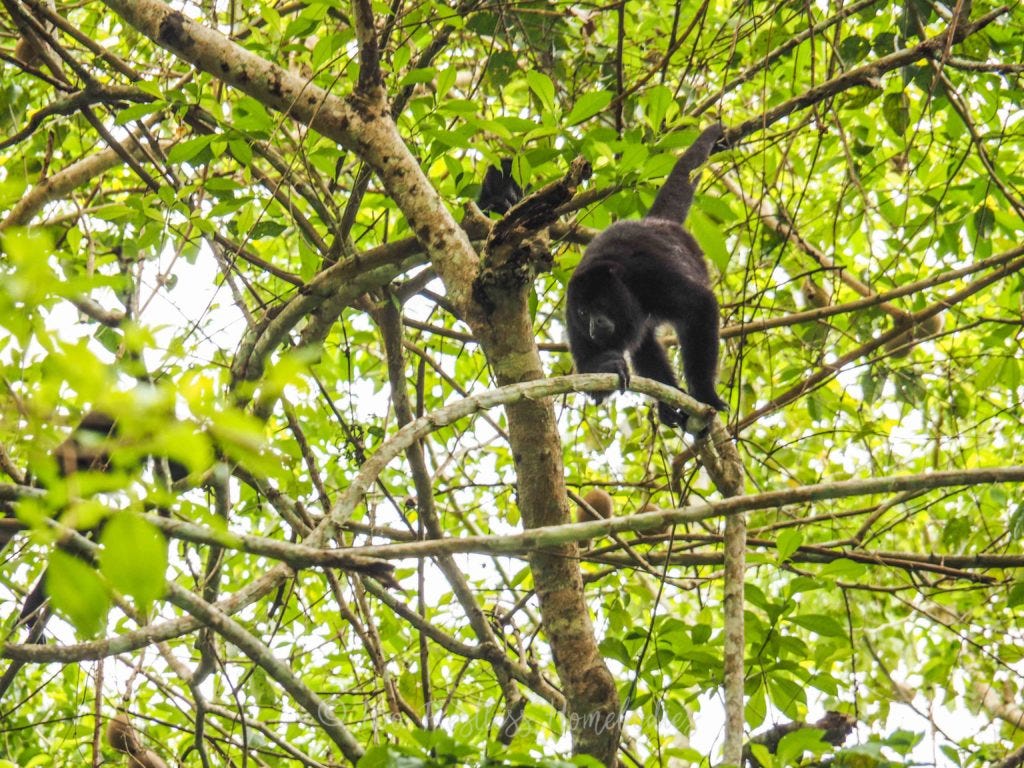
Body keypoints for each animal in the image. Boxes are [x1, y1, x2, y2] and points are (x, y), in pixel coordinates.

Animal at [569, 123, 729, 430]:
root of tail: (654, 222)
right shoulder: (569, 314)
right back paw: (668, 403)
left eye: (601, 303)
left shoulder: (650, 277)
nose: (594, 325)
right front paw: (608, 365)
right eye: (582, 312)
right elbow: (589, 376)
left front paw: (705, 395)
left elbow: (701, 305)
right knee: (644, 345)